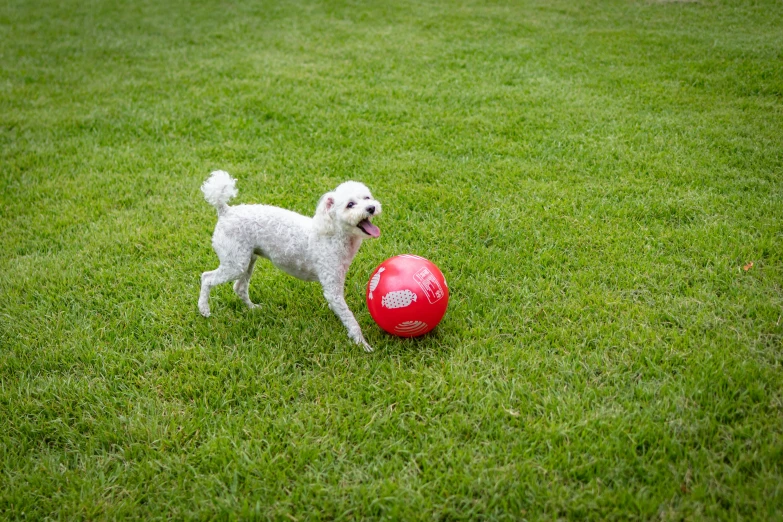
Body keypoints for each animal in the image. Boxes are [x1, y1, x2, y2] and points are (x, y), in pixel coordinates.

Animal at [196, 170, 380, 350]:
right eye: (350, 204)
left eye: (367, 197)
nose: (371, 208)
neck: (334, 233)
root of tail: (226, 211)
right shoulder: (332, 286)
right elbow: (349, 317)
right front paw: (362, 343)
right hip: (235, 263)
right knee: (207, 278)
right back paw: (204, 309)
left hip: (246, 259)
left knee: (239, 287)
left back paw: (252, 308)